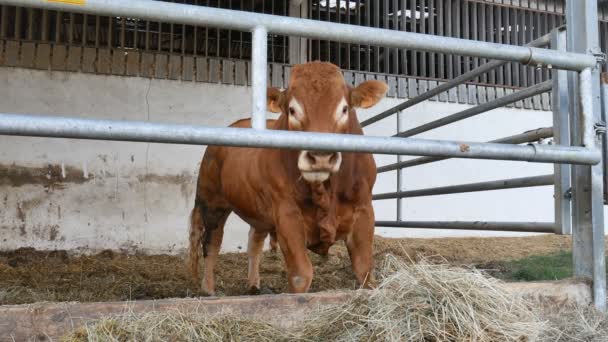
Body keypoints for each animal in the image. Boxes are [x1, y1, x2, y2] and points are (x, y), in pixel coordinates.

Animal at [188, 61, 388, 294]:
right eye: (292, 110)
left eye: (344, 109)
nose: (321, 156)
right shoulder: (286, 214)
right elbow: (301, 275)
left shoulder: (364, 209)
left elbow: (364, 268)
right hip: (211, 200)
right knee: (211, 243)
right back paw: (208, 289)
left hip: (257, 211)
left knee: (254, 242)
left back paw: (253, 284)